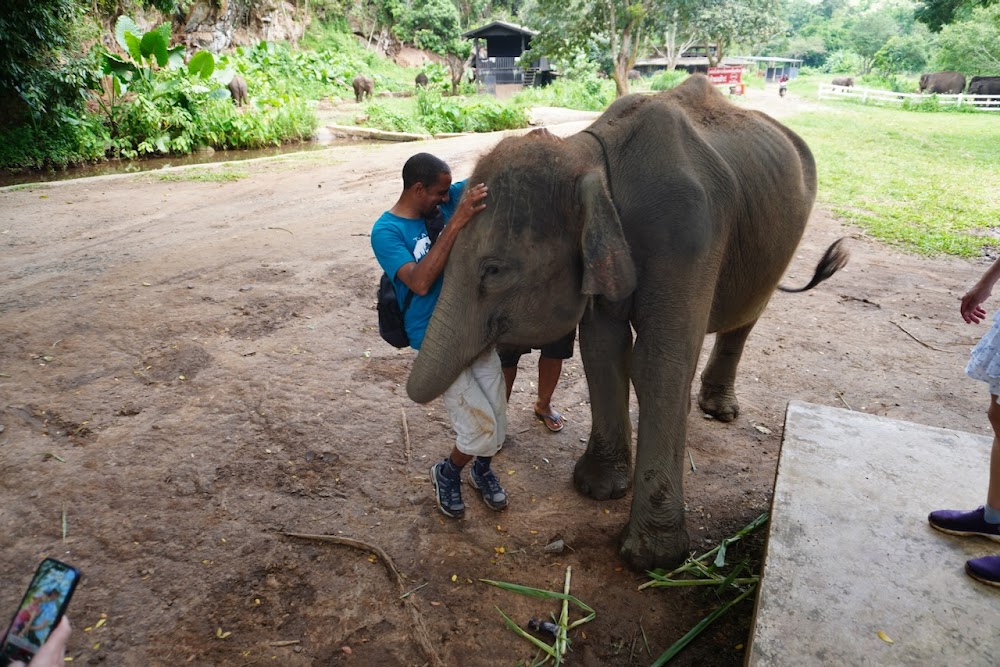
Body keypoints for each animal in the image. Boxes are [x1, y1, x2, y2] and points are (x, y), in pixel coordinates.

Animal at [402, 75, 848, 572]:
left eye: (493, 270)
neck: (591, 154)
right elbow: (603, 348)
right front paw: (597, 489)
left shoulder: (687, 236)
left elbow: (657, 364)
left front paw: (652, 559)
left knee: (746, 318)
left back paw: (718, 412)